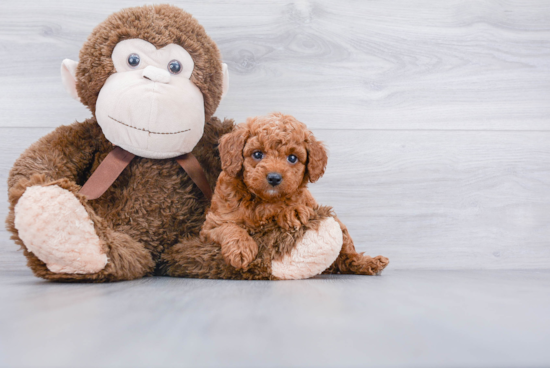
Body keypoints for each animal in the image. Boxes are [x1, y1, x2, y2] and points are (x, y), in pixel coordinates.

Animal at [201, 113, 390, 274]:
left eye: (292, 158)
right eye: (257, 154)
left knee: (347, 253)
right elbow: (230, 227)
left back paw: (368, 262)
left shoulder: (310, 204)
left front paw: (294, 212)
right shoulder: (211, 226)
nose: (274, 178)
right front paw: (241, 250)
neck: (265, 201)